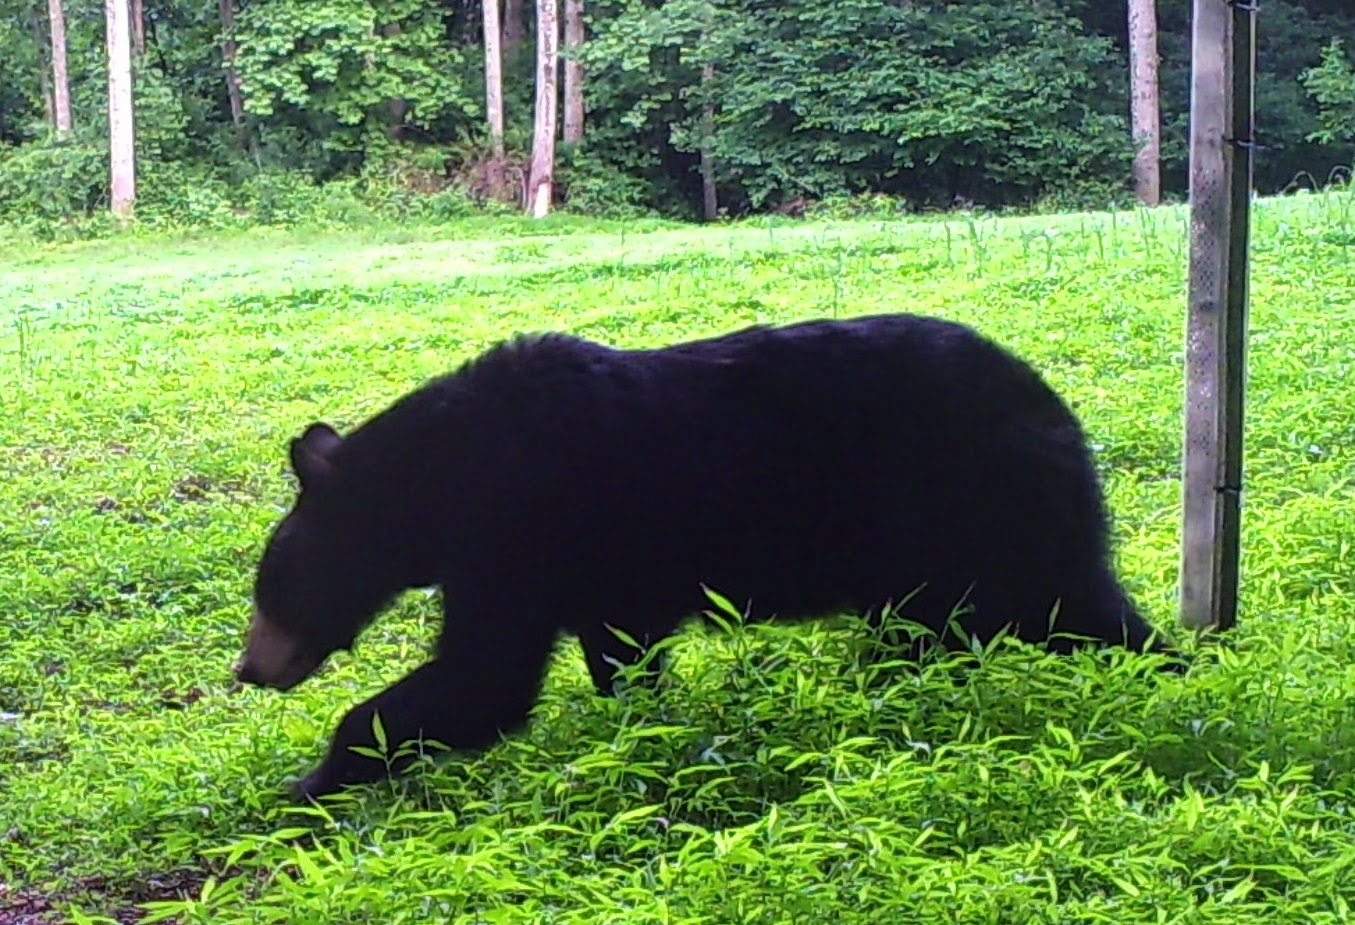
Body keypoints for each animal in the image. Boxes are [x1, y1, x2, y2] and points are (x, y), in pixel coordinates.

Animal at [233, 313, 1172, 799]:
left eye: (272, 587)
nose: (249, 668)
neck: (446, 480)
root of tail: (1053, 405)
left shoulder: (525, 530)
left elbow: (484, 674)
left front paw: (307, 780)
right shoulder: (595, 572)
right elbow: (610, 654)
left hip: (977, 508)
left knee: (1067, 604)